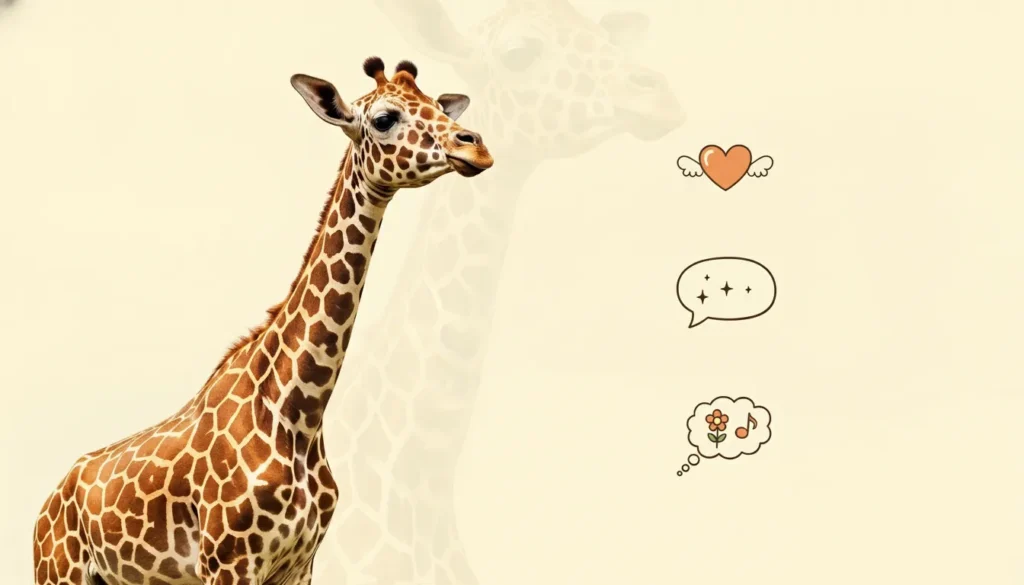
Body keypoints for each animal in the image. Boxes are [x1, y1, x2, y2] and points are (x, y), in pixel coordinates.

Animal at [31, 56, 494, 585]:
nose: (476, 147)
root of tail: (43, 509)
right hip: (59, 572)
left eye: (438, 104)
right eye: (383, 118)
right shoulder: (229, 561)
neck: (300, 413)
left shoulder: (299, 563)